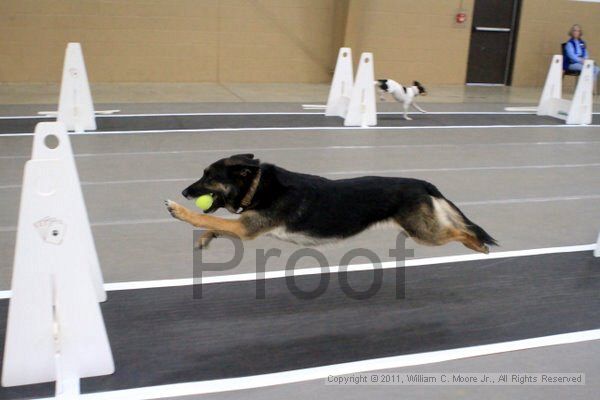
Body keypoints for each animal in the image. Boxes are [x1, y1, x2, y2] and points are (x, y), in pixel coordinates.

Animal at [164, 153, 496, 253]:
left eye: (208, 177)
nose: (184, 191)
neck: (258, 186)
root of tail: (421, 183)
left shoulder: (247, 228)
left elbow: (206, 218)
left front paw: (179, 210)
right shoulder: (243, 226)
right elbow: (215, 224)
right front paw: (205, 239)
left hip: (424, 233)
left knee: (461, 231)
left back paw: (477, 246)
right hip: (424, 228)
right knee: (457, 227)